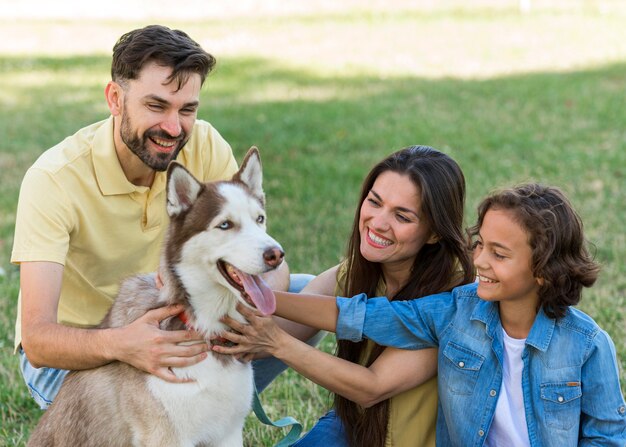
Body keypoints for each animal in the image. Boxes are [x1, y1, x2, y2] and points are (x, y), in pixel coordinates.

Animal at [28, 148, 282, 447]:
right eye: (225, 225)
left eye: (260, 219)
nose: (276, 254)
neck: (204, 327)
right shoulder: (166, 436)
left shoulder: (228, 431)